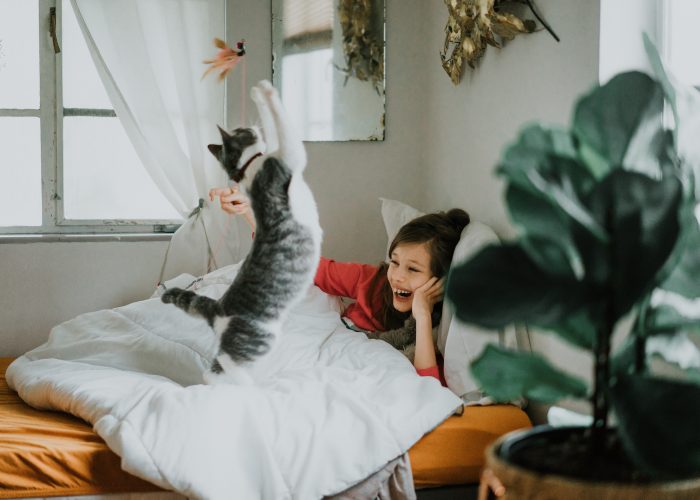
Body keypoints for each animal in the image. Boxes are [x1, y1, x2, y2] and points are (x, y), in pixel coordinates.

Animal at [160, 80, 322, 384]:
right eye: (242, 130)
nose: (253, 126)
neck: (249, 169)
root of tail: (219, 309)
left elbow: (275, 127)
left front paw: (260, 99)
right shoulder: (289, 156)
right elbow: (282, 123)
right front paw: (266, 93)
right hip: (255, 342)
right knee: (217, 374)